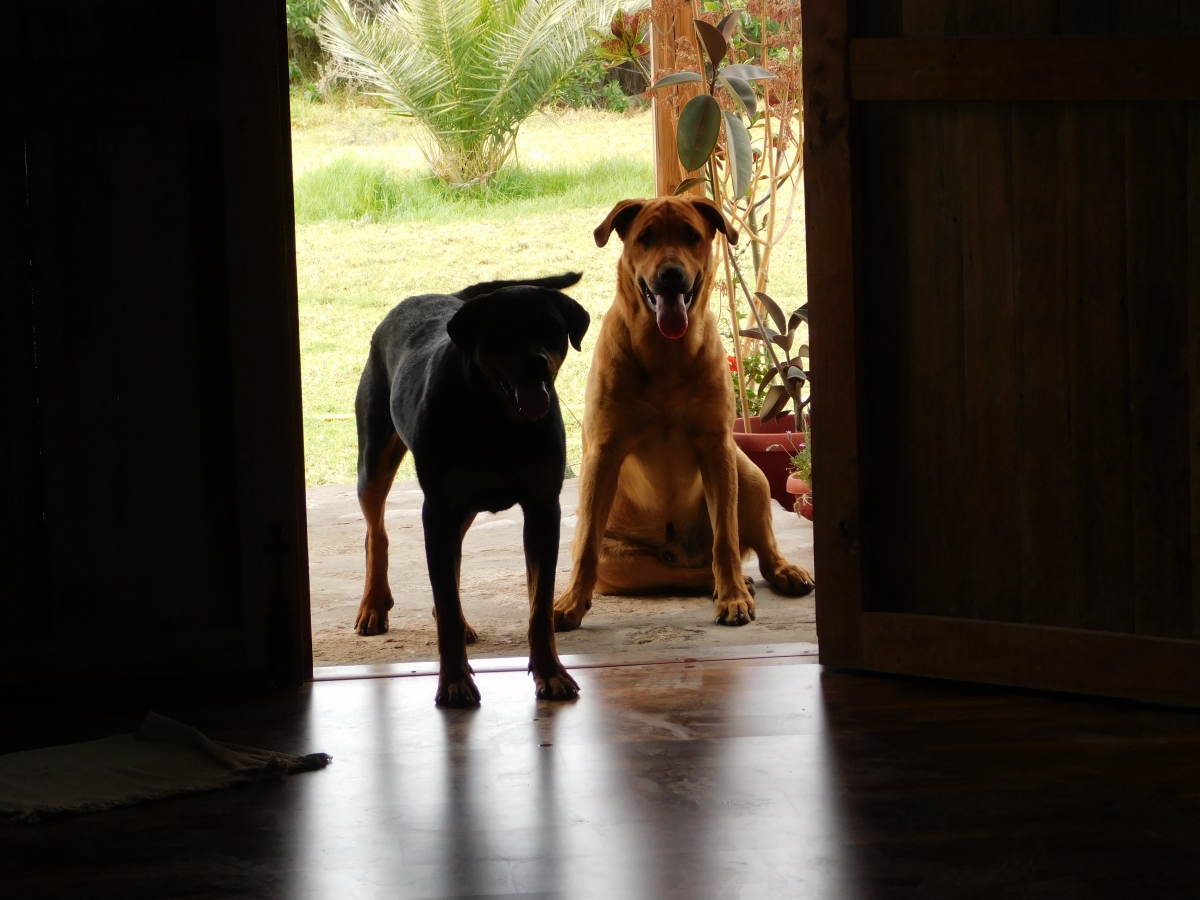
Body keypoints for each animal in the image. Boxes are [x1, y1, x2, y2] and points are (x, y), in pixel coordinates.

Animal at [350, 271, 590, 710]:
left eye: (552, 329)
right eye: (503, 331)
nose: (536, 363)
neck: (498, 419)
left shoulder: (543, 508)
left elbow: (539, 606)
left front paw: (551, 673)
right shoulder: (438, 509)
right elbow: (445, 602)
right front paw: (455, 681)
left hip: (462, 505)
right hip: (375, 454)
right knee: (376, 531)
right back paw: (374, 605)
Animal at [552, 196, 816, 633]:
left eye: (692, 236)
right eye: (646, 237)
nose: (671, 275)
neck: (666, 354)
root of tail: (683, 549)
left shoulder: (717, 448)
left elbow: (726, 539)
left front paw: (732, 597)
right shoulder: (603, 453)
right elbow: (587, 542)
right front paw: (571, 602)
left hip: (750, 475)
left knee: (758, 549)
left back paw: (777, 572)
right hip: (620, 561)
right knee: (668, 572)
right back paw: (711, 579)